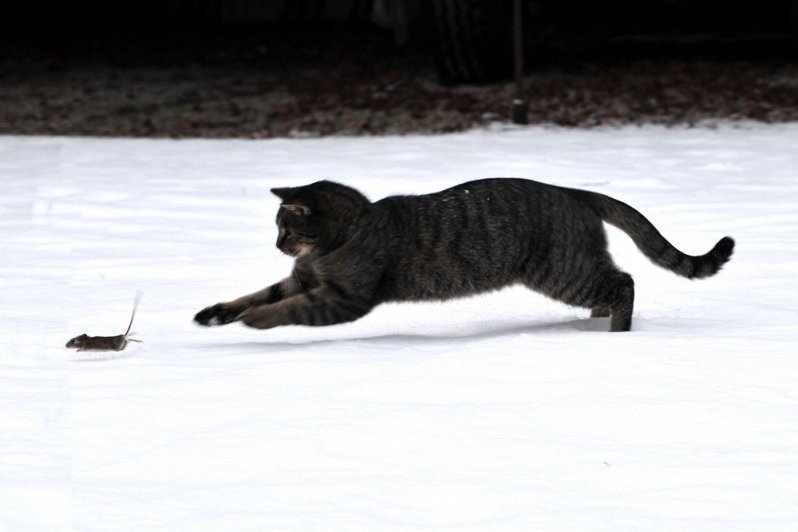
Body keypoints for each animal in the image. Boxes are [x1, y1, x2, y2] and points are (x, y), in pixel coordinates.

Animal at [195, 178, 736, 332]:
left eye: (285, 227)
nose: (277, 245)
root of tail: (572, 190)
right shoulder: (304, 279)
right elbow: (257, 294)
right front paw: (218, 313)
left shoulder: (343, 297)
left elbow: (283, 308)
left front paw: (255, 322)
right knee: (614, 283)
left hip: (562, 271)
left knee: (624, 282)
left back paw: (616, 333)